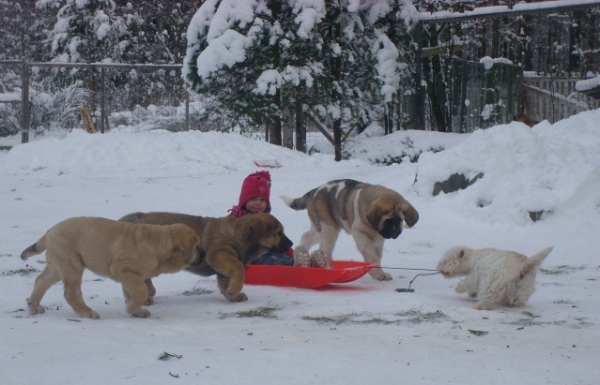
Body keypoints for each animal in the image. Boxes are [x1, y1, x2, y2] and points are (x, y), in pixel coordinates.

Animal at [20, 216, 199, 318]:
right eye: (196, 247)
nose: (203, 252)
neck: (158, 243)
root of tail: (49, 231)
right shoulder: (124, 269)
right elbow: (141, 291)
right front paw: (132, 308)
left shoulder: (130, 275)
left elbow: (132, 291)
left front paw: (136, 310)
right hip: (72, 264)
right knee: (71, 292)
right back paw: (85, 312)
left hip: (59, 265)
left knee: (41, 281)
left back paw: (33, 306)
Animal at [118, 212, 292, 302]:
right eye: (278, 233)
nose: (291, 243)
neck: (238, 234)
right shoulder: (218, 255)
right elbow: (239, 270)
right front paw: (234, 291)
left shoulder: (222, 266)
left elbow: (225, 281)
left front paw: (232, 295)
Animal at [280, 178, 418, 280]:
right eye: (387, 221)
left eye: (399, 220)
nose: (394, 232)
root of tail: (314, 191)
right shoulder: (360, 234)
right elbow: (371, 255)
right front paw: (376, 274)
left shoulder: (378, 241)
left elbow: (377, 257)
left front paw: (380, 273)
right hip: (329, 228)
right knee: (325, 248)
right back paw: (328, 268)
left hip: (319, 225)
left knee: (307, 236)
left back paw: (299, 256)